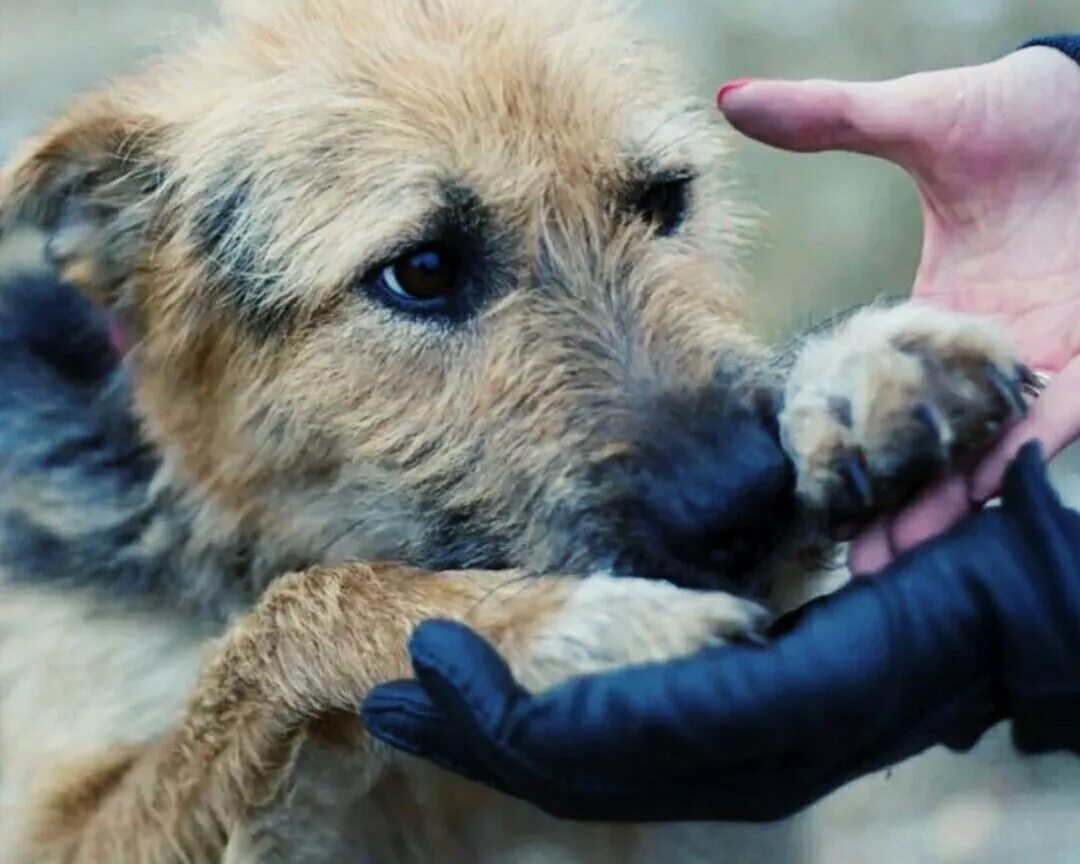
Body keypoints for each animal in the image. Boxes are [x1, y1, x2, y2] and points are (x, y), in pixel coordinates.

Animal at [0, 1, 1028, 864]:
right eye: (420, 269)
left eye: (665, 198)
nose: (746, 497)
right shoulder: (66, 831)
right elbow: (284, 623)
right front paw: (550, 627)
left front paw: (860, 369)